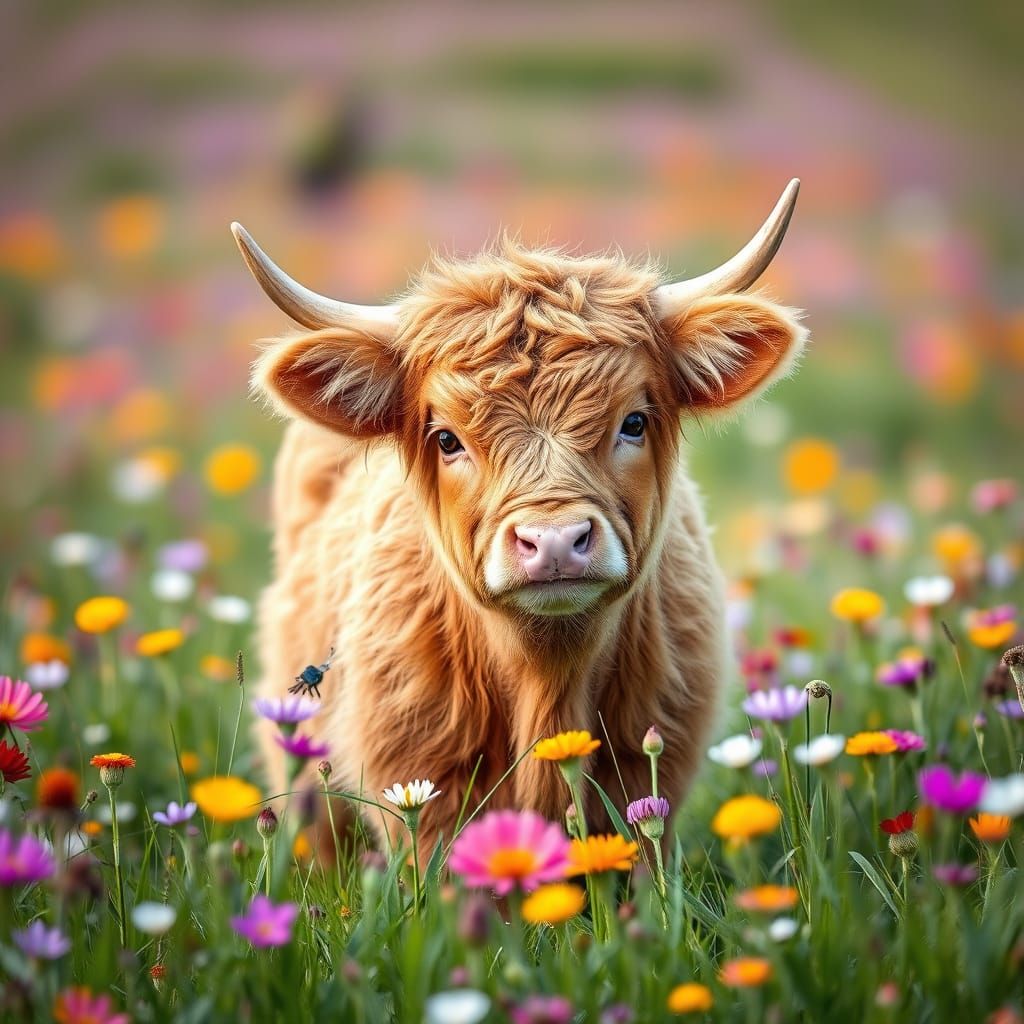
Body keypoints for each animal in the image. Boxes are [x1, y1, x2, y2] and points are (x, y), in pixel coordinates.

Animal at [232, 179, 807, 854]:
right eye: (447, 439)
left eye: (634, 422)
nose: (554, 541)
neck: (548, 683)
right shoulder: (418, 787)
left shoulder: (651, 776)